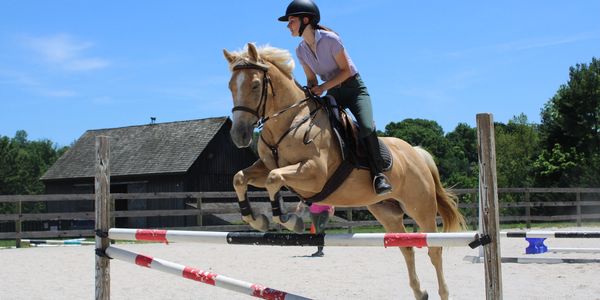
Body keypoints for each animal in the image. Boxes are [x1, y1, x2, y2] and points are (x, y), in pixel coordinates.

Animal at [223, 42, 466, 300]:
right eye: (231, 86)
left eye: (255, 85)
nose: (239, 136)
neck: (291, 121)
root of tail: (416, 152)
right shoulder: (266, 167)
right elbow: (240, 178)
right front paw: (256, 220)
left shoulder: (314, 174)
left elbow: (273, 179)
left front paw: (290, 221)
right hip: (386, 212)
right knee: (406, 247)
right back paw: (420, 292)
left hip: (420, 207)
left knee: (434, 250)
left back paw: (443, 292)